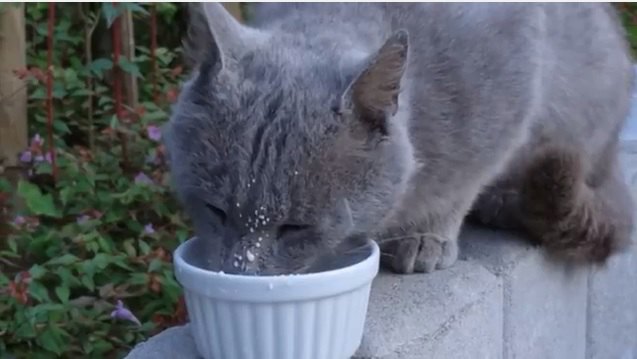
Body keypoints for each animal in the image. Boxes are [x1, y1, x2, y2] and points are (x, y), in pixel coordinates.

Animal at [163, 2, 632, 276]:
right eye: (215, 211)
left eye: (295, 227)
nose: (238, 271)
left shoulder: (510, 92)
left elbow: (462, 182)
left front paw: (426, 236)